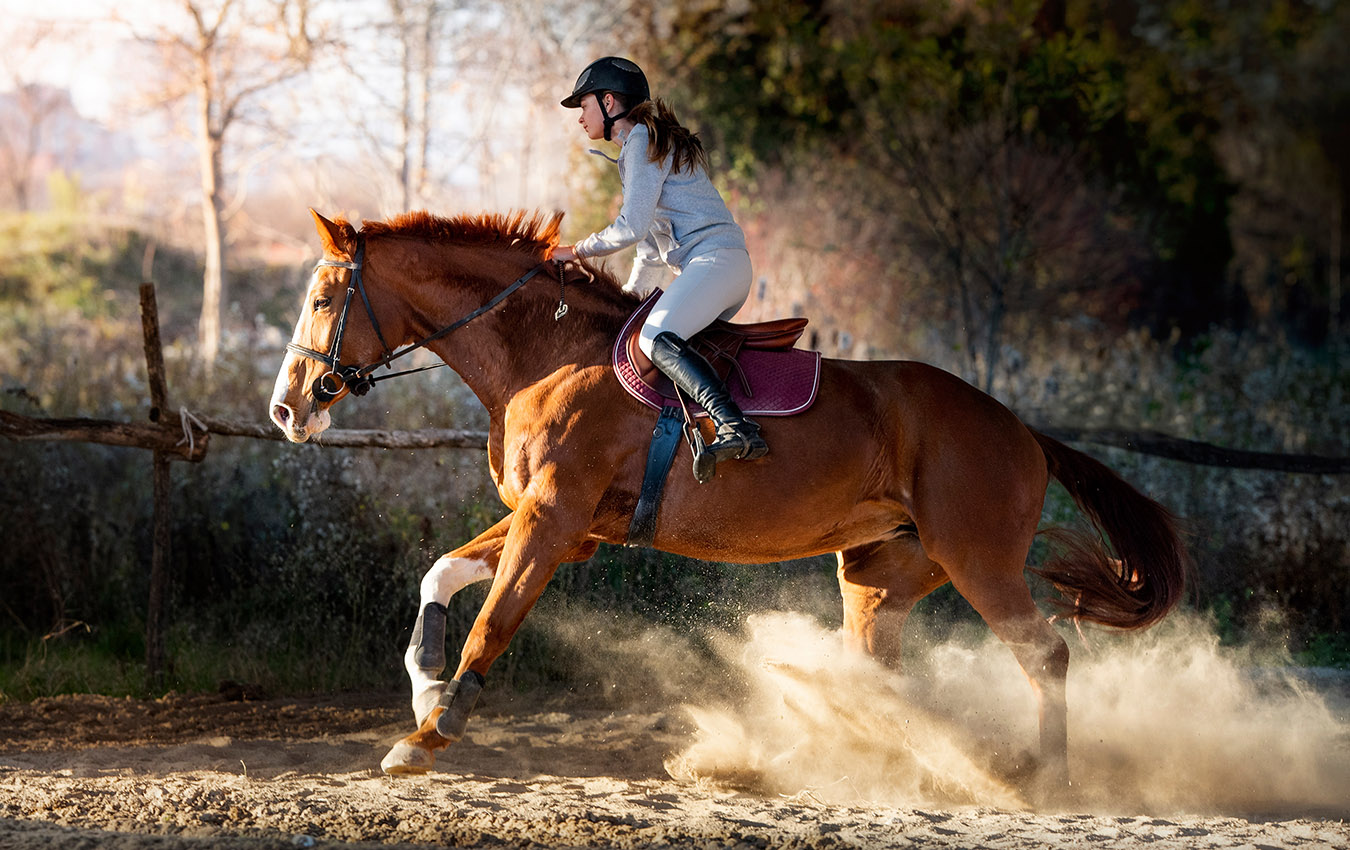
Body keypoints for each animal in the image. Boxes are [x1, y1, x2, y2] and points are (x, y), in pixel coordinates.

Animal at [269, 208, 1187, 796]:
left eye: (322, 299)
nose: (287, 410)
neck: (545, 354)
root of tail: (1024, 431)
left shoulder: (553, 521)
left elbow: (492, 621)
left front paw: (428, 736)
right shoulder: (563, 526)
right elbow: (440, 574)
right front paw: (426, 688)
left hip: (978, 559)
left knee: (1045, 656)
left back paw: (1047, 780)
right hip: (879, 573)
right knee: (878, 677)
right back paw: (847, 766)